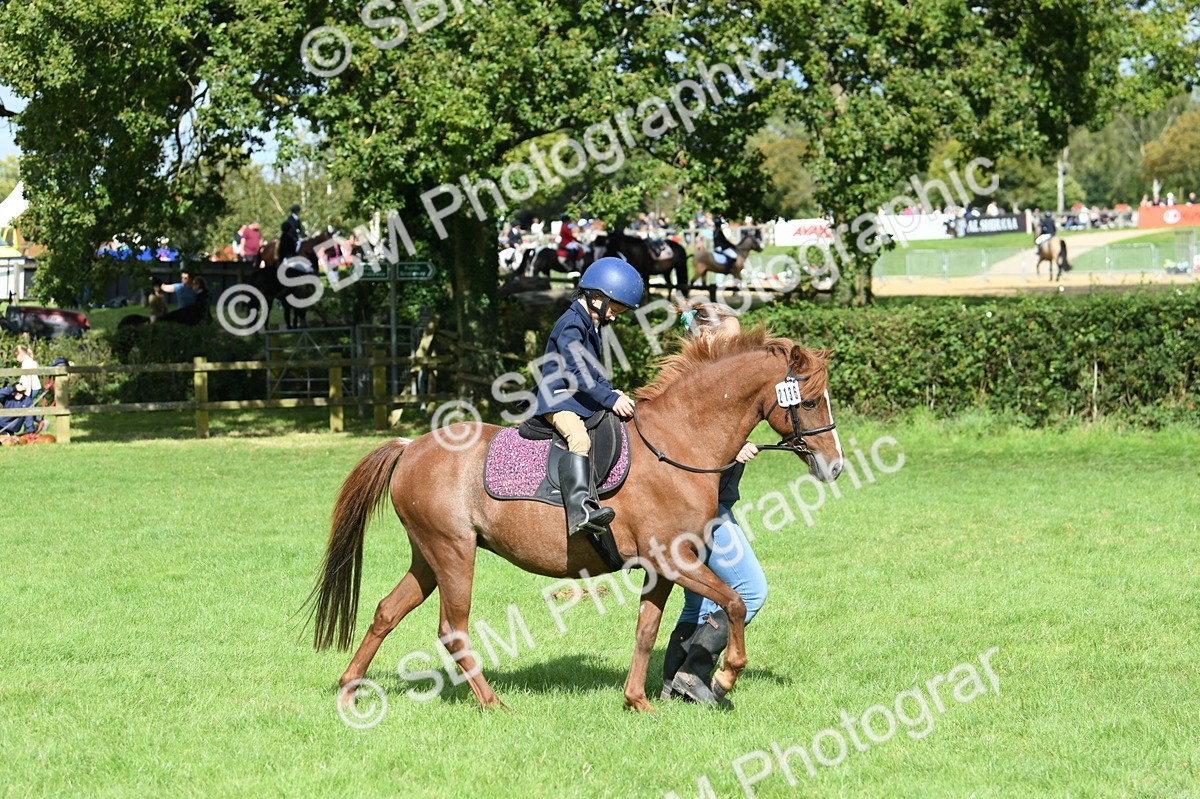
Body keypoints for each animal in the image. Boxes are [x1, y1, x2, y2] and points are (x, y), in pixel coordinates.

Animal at [308, 328, 843, 711]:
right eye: (810, 401)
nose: (834, 466)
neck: (679, 442)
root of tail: (411, 446)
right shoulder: (676, 562)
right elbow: (731, 602)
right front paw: (728, 675)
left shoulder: (662, 568)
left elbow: (647, 631)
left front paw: (638, 701)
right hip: (453, 552)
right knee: (452, 629)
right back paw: (493, 704)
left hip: (428, 556)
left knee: (386, 611)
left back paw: (350, 688)